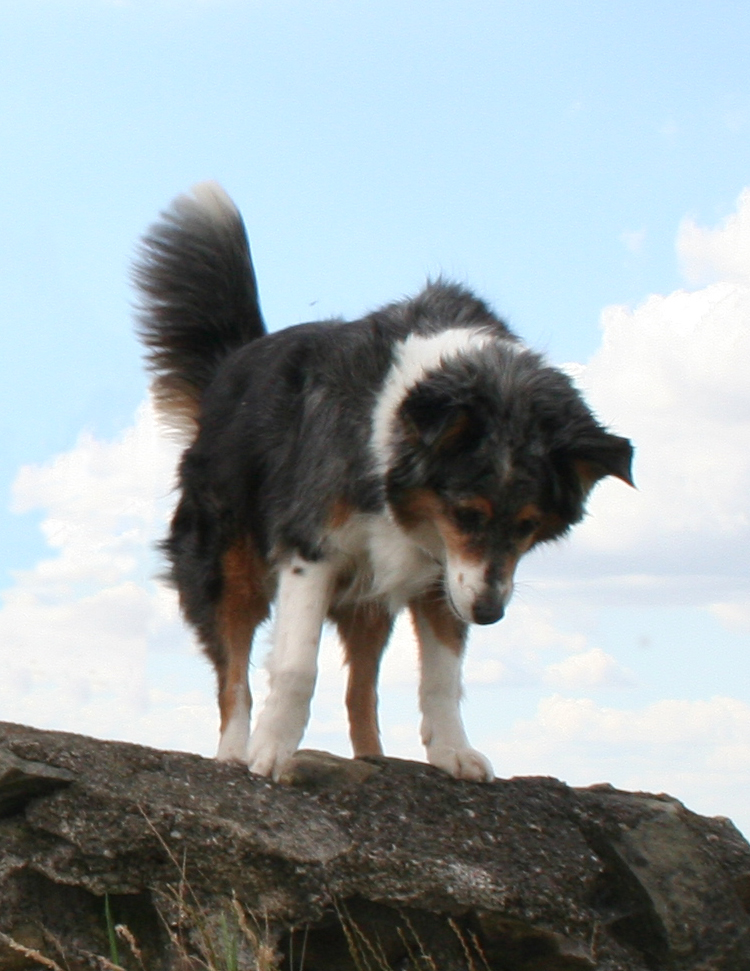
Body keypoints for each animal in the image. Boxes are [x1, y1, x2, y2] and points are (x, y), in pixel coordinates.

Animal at [135, 184, 636, 784]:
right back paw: (235, 748)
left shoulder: (448, 573)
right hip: (229, 564)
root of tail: (229, 367)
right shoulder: (313, 546)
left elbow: (441, 677)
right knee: (234, 672)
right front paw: (271, 751)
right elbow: (297, 665)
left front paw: (453, 751)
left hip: (369, 596)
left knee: (361, 691)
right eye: (467, 513)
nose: (489, 614)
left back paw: (373, 758)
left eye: (528, 526)